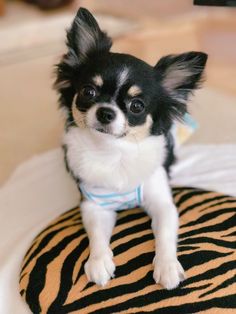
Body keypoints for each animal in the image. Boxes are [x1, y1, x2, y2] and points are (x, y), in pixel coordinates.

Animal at [54, 7, 207, 290]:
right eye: (88, 92)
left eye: (137, 106)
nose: (105, 112)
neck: (114, 151)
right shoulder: (94, 204)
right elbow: (96, 234)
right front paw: (98, 262)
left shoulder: (162, 202)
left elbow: (165, 234)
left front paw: (167, 266)